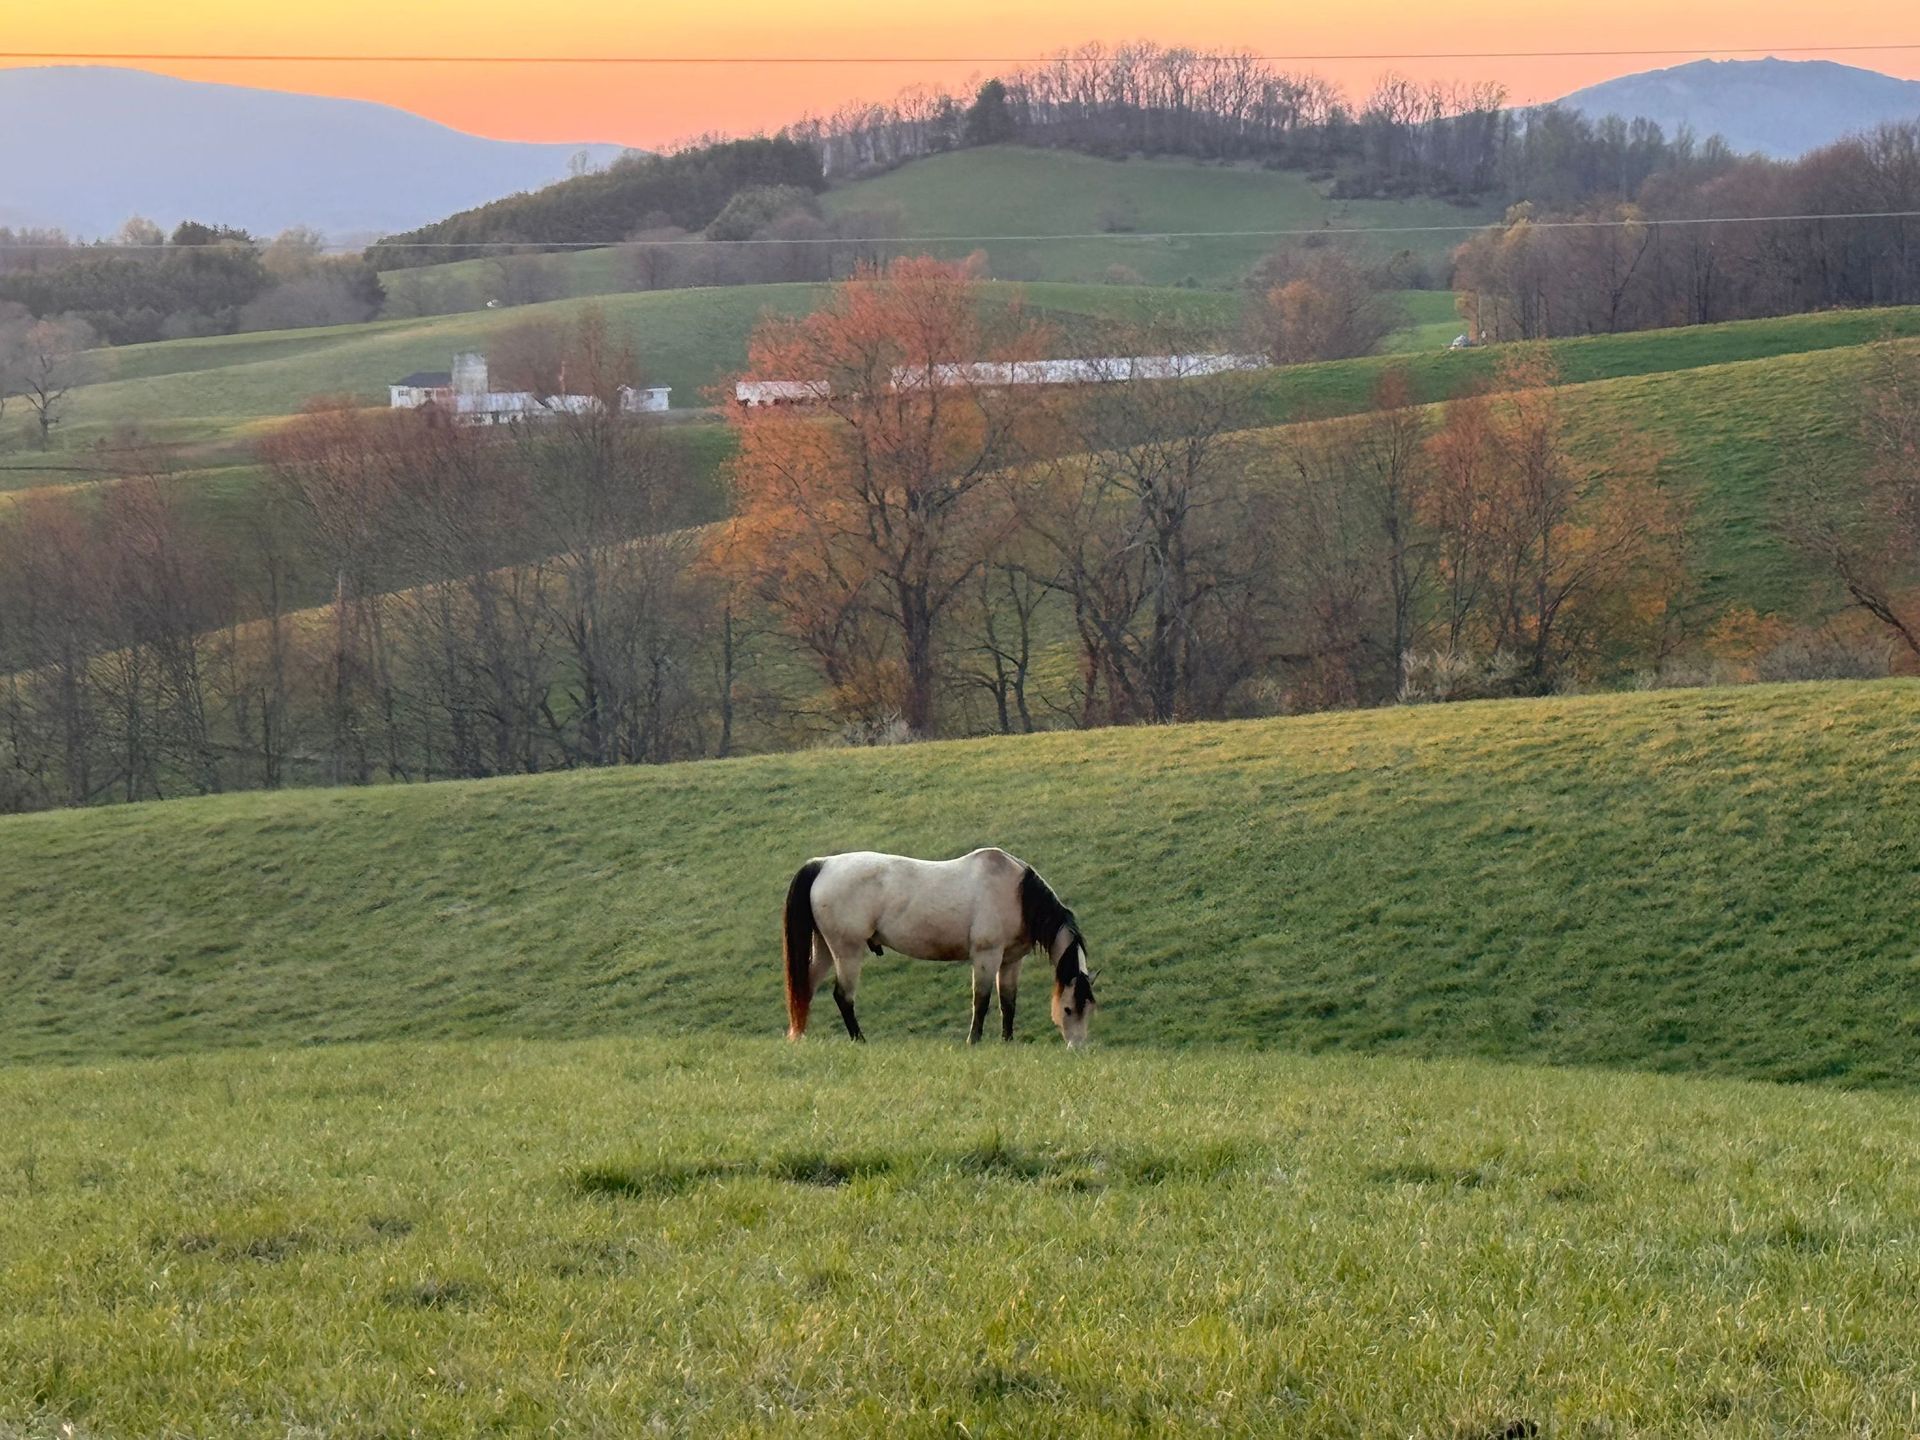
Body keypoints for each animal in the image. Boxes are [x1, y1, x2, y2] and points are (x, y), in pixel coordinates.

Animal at [782, 847, 1098, 1047]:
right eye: (1068, 1008)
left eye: (1088, 1008)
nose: (1077, 1047)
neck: (1016, 893)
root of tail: (823, 864)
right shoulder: (986, 956)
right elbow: (981, 1001)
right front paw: (974, 1041)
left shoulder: (1010, 961)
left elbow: (1008, 1003)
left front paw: (1007, 1042)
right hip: (848, 951)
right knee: (843, 996)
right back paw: (859, 1040)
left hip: (825, 949)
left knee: (805, 989)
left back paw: (800, 1037)